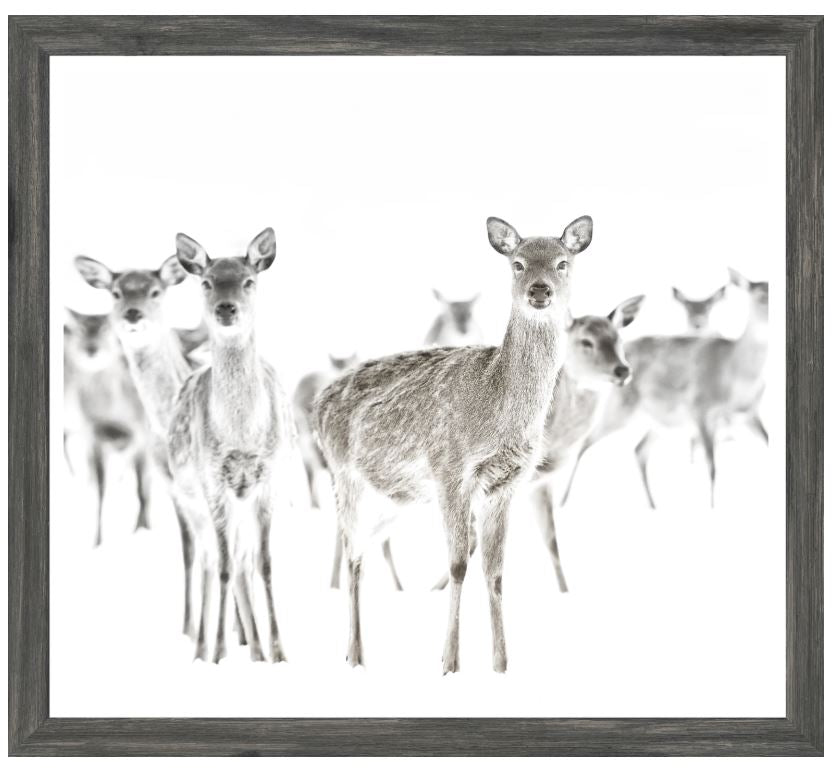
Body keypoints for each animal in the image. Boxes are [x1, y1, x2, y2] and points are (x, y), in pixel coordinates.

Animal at [63, 309, 151, 547]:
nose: (91, 349)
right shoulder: (92, 436)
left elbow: (142, 488)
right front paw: (97, 540)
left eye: (106, 329)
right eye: (80, 329)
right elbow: (100, 492)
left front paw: (142, 529)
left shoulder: (141, 434)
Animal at [74, 253, 208, 639]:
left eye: (155, 291)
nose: (133, 314)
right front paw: (187, 627)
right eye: (116, 292)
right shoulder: (174, 488)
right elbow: (190, 553)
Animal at [168, 228, 292, 664]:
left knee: (242, 561)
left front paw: (278, 651)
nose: (226, 308)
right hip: (193, 501)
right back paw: (204, 646)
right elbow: (222, 567)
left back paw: (254, 649)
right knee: (213, 560)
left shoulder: (269, 479)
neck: (241, 434)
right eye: (207, 282)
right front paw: (219, 651)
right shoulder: (213, 483)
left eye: (248, 280)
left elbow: (265, 564)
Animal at [313, 214, 593, 673]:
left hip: (395, 499)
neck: (497, 409)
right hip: (345, 477)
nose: (539, 290)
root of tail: (318, 402)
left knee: (363, 549)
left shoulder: (505, 484)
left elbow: (495, 571)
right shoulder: (449, 472)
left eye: (562, 262)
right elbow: (459, 564)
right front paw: (449, 661)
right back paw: (355, 654)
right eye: (517, 264)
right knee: (352, 552)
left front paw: (501, 663)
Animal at [561, 268, 768, 509]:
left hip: (662, 421)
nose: (698, 323)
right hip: (621, 409)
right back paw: (562, 502)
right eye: (760, 297)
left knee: (639, 450)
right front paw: (712, 506)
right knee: (587, 442)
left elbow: (764, 442)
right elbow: (711, 466)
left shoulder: (749, 414)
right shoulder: (701, 410)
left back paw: (653, 505)